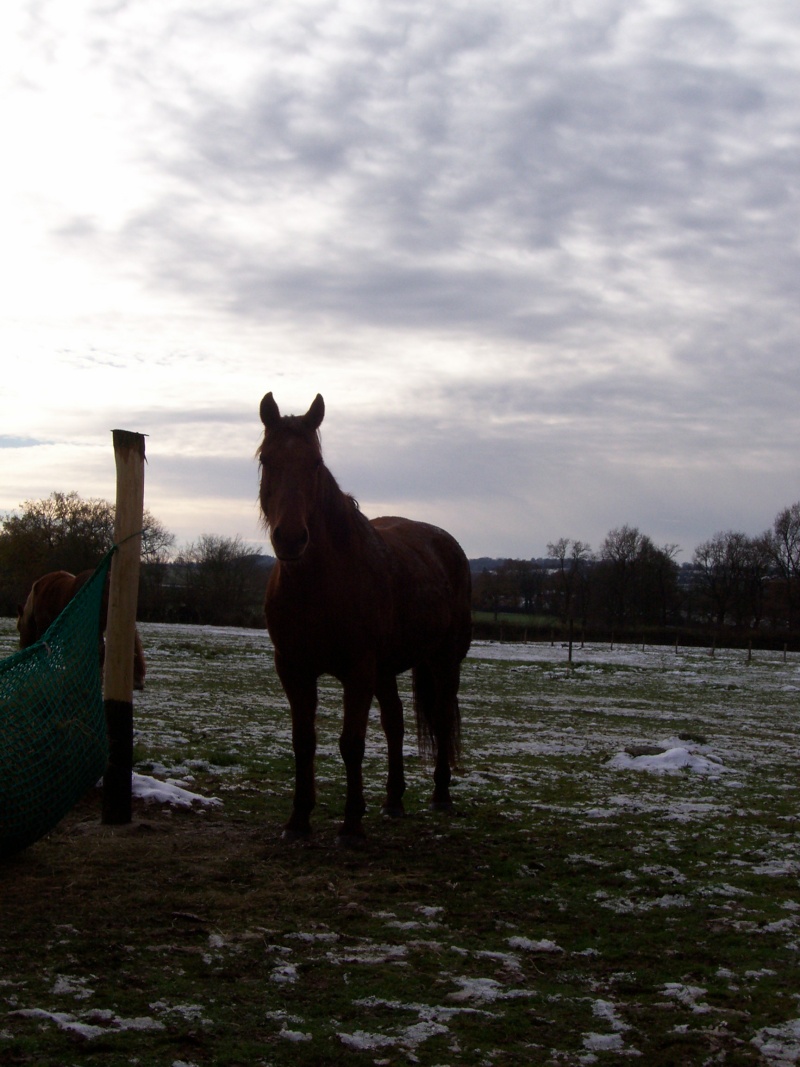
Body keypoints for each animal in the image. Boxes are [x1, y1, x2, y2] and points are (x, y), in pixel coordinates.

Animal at [257, 390, 473, 840]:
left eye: (315, 462)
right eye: (267, 460)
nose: (291, 538)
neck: (318, 585)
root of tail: (446, 543)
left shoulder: (357, 670)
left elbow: (351, 743)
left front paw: (352, 823)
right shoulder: (293, 668)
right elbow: (303, 740)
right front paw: (298, 820)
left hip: (443, 662)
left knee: (442, 716)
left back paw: (440, 794)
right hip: (386, 669)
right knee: (395, 723)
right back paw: (393, 801)